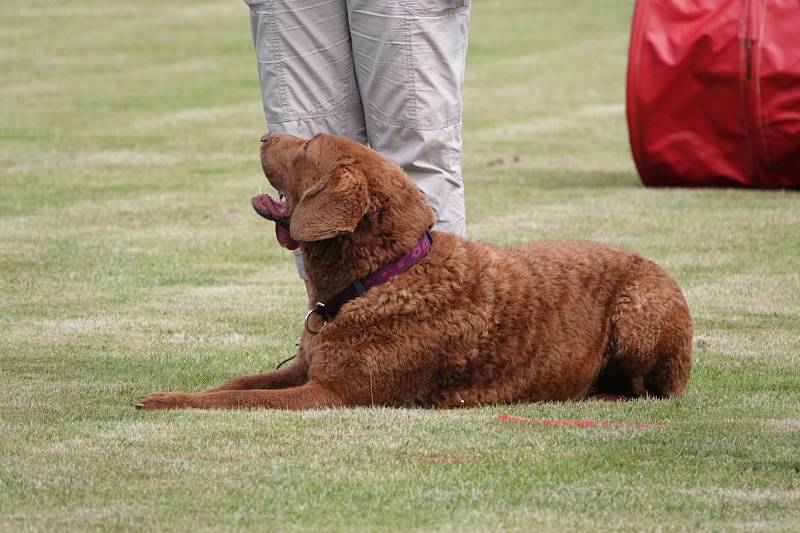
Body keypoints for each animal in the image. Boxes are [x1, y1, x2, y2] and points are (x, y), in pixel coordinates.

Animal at [134, 132, 692, 408]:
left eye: (308, 146)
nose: (264, 134)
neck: (382, 277)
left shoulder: (328, 393)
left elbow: (236, 400)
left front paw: (165, 402)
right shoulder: (301, 370)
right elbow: (232, 385)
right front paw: (173, 393)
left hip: (639, 315)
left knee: (649, 390)